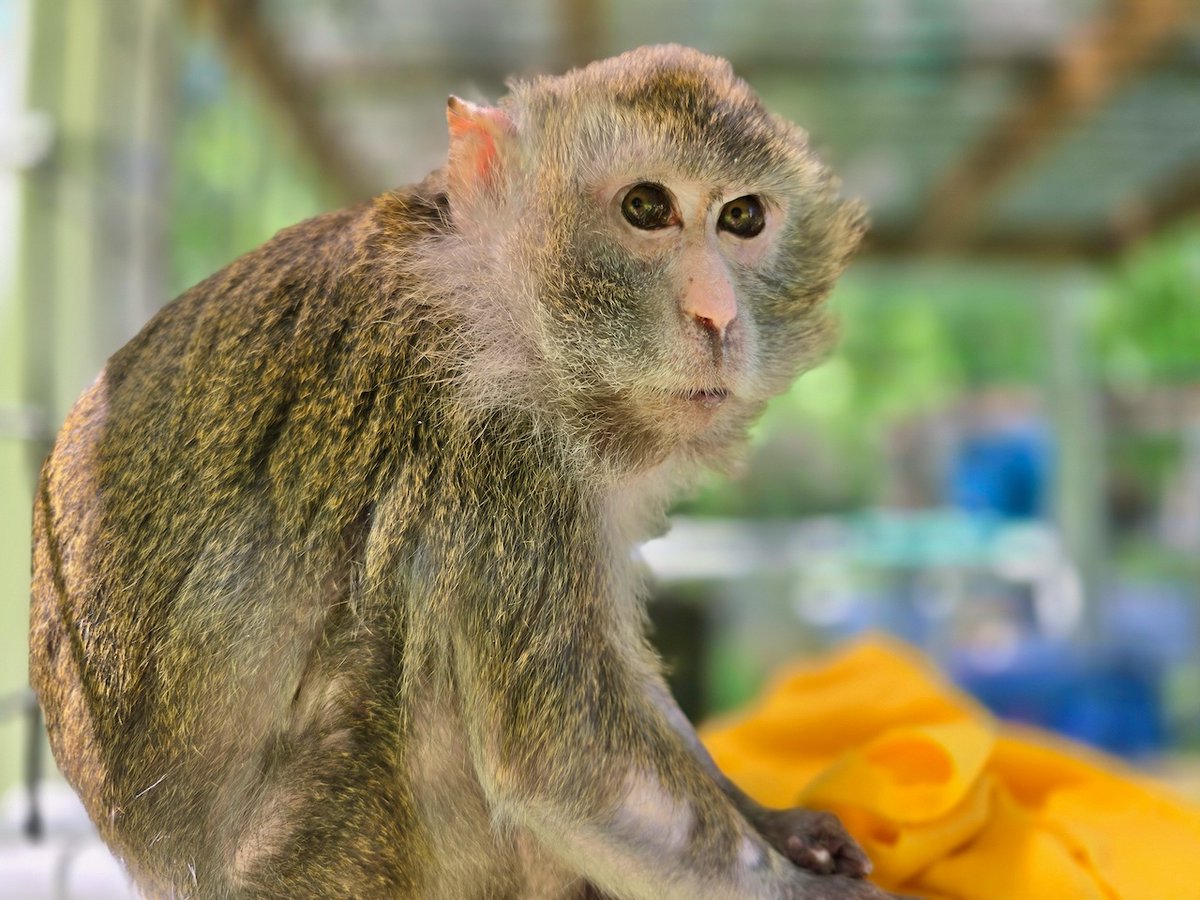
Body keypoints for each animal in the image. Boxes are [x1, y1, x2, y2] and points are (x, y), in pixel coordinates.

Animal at [29, 45, 890, 899]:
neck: (496, 289)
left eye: (743, 218)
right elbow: (573, 768)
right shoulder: (501, 443)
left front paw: (777, 821)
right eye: (647, 206)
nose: (718, 314)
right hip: (326, 858)